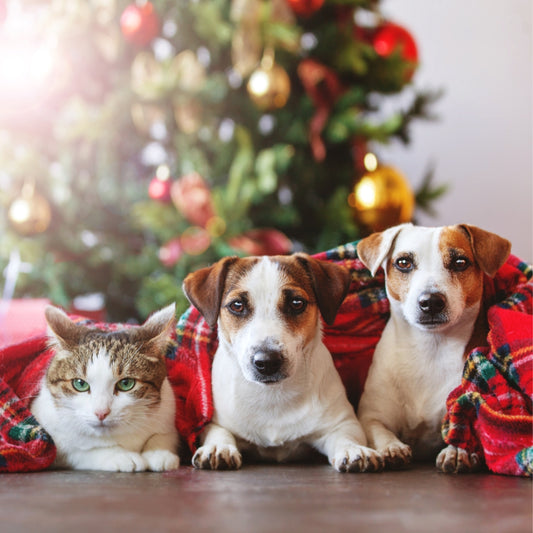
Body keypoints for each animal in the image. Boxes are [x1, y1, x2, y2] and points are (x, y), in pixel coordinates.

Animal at [31, 302, 181, 472]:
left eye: (126, 383)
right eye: (80, 384)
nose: (101, 412)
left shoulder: (167, 411)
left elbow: (164, 435)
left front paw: (159, 453)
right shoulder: (50, 441)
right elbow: (81, 451)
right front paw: (121, 456)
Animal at [182, 251, 382, 472]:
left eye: (296, 303)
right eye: (237, 305)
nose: (267, 362)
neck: (272, 396)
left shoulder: (344, 422)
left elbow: (346, 436)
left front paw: (353, 449)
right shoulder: (213, 422)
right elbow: (218, 431)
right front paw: (219, 447)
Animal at [356, 222, 510, 472]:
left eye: (460, 262)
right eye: (403, 262)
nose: (431, 301)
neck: (429, 348)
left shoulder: (459, 407)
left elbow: (460, 428)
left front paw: (457, 450)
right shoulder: (371, 415)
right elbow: (379, 431)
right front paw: (391, 447)